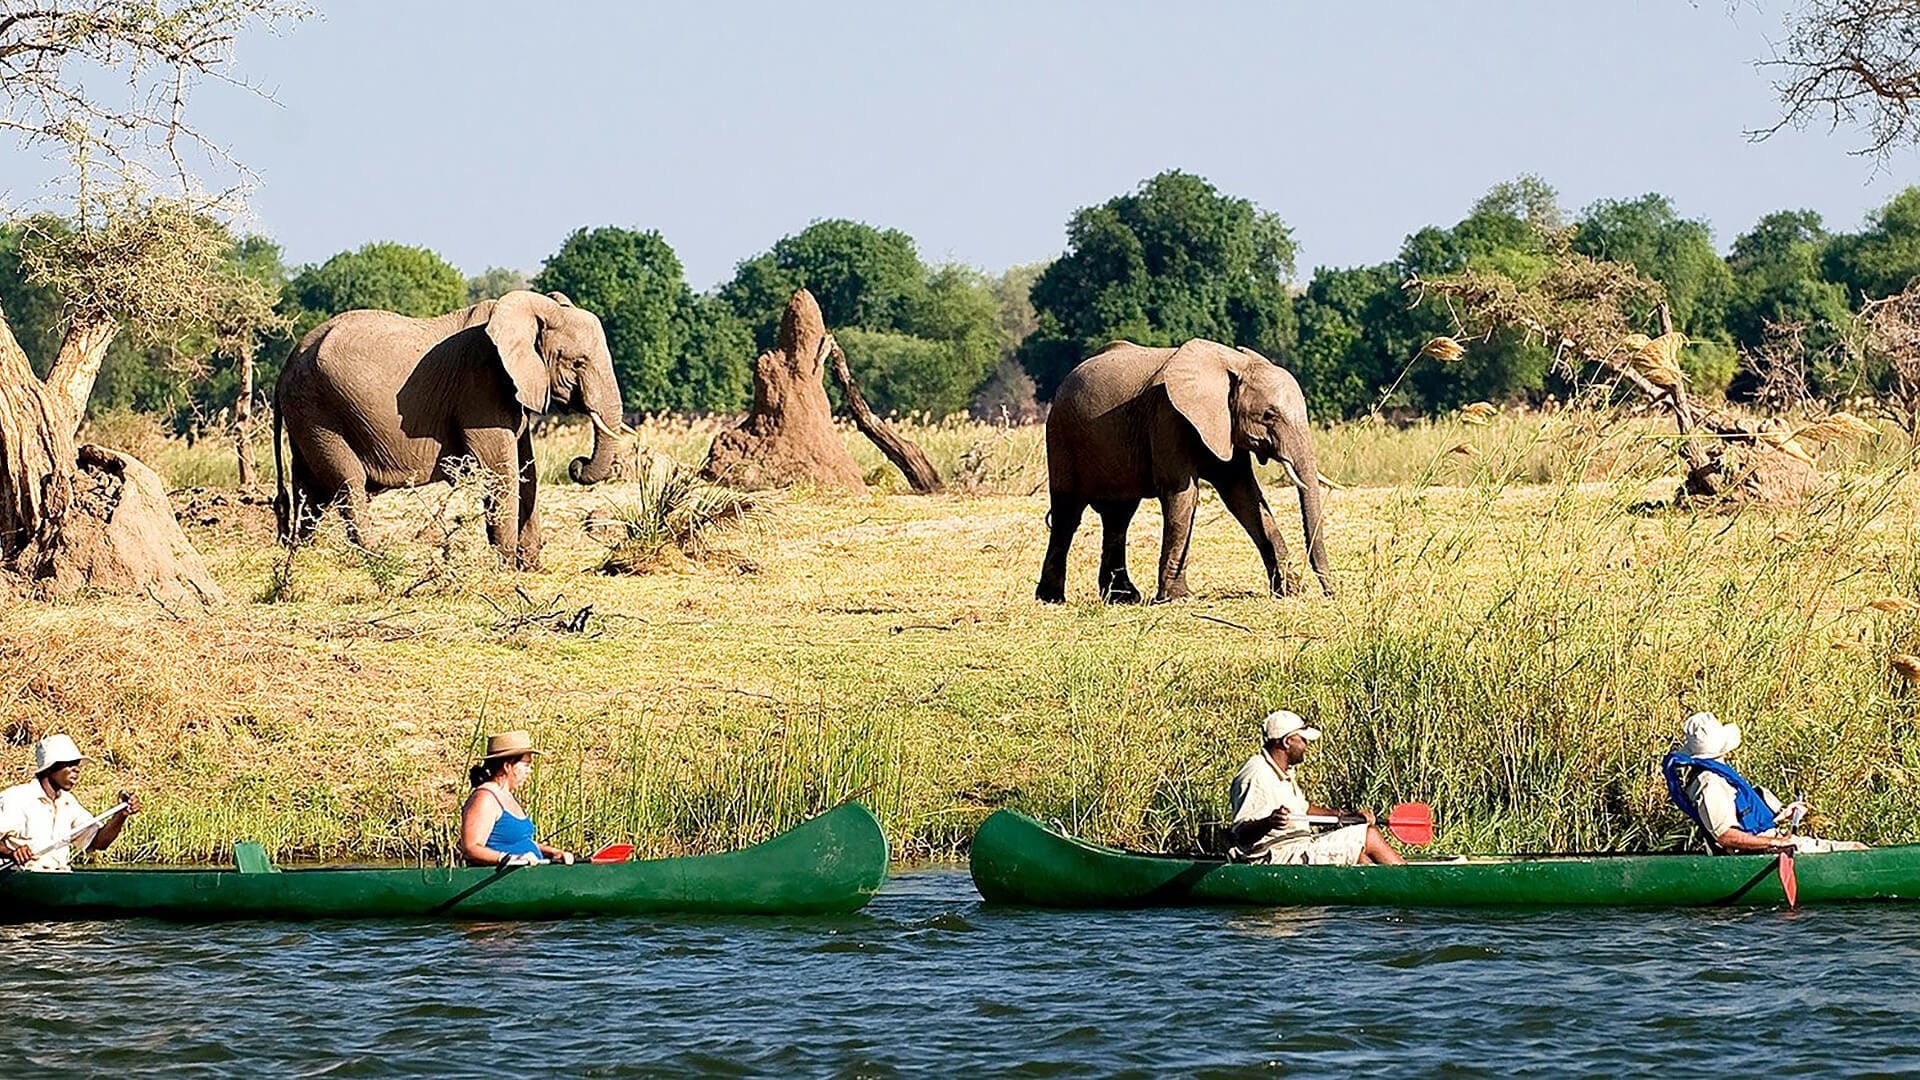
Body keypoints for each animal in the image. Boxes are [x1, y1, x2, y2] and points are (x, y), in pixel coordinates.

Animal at [272, 286, 622, 572]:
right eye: (578, 363)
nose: (577, 464)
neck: (533, 311)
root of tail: (287, 364)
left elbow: (527, 468)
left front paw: (531, 567)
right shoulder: (480, 384)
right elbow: (501, 468)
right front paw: (507, 567)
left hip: (307, 413)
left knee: (310, 488)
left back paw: (301, 555)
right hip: (320, 412)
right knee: (348, 482)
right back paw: (380, 557)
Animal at [1036, 338, 1336, 595]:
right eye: (1269, 415)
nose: (1331, 593)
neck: (1233, 363)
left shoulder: (1224, 428)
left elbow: (1245, 496)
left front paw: (1290, 591)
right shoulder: (1168, 417)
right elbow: (1182, 495)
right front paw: (1177, 597)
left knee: (1118, 516)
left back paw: (1123, 597)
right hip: (1061, 435)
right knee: (1068, 514)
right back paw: (1052, 597)